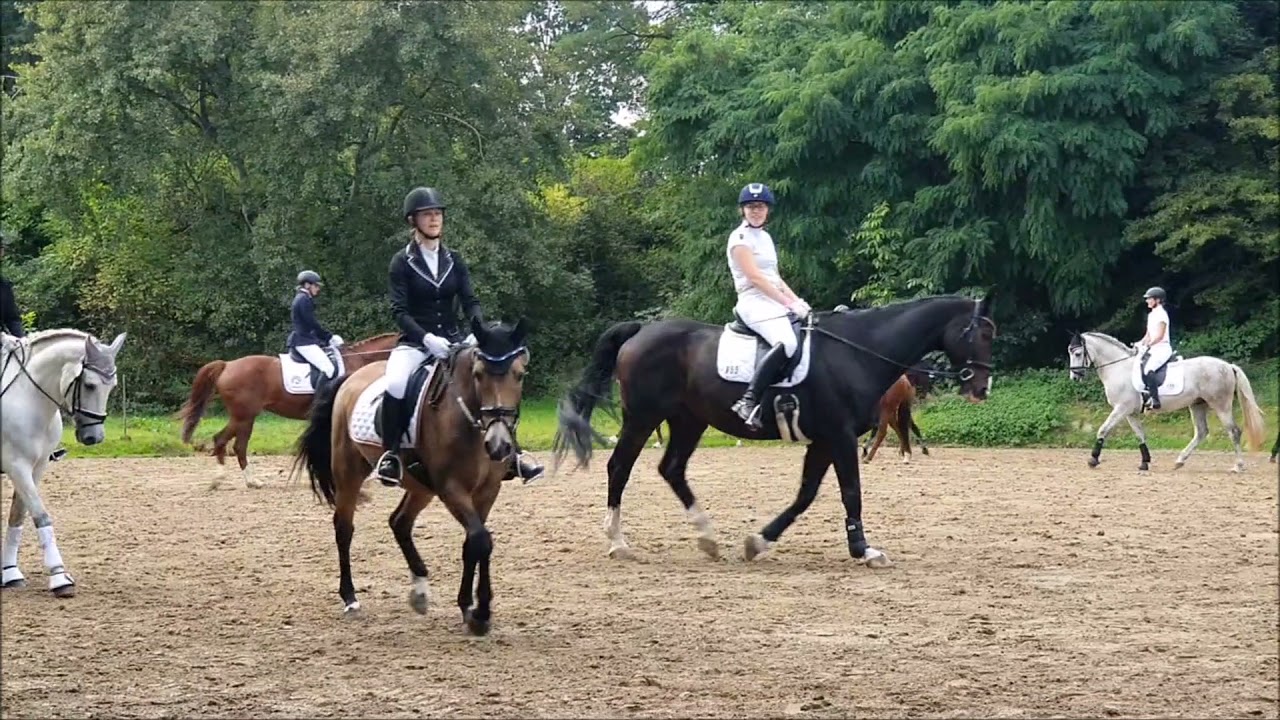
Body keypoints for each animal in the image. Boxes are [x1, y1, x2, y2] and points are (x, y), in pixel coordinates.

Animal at [1, 329, 127, 597]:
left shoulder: (36, 468)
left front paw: (10, 573)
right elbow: (41, 516)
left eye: (112, 387)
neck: (30, 399)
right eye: (89, 385)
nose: (93, 437)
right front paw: (59, 576)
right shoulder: (17, 466)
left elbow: (17, 516)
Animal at [177, 332, 398, 489]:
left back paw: (235, 480)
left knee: (230, 443)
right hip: (244, 416)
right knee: (231, 443)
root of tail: (227, 365)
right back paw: (235, 480)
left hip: (244, 417)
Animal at [292, 318, 529, 634]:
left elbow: (475, 542)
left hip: (420, 486)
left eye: (519, 375)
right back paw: (350, 598)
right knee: (344, 528)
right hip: (348, 471)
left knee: (400, 522)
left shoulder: (488, 489)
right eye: (478, 375)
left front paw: (470, 608)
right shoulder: (451, 488)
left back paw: (419, 591)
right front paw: (479, 613)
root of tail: (352, 377)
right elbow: (480, 539)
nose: (499, 444)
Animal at [553, 294, 996, 566]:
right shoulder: (839, 435)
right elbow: (850, 491)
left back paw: (708, 538)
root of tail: (641, 332)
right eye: (982, 333)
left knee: (672, 469)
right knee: (619, 468)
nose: (982, 388)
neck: (857, 352)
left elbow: (805, 495)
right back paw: (618, 543)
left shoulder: (824, 440)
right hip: (644, 417)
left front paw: (759, 541)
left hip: (689, 420)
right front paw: (864, 550)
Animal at [1067, 331, 1265, 472]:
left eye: (1077, 353)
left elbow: (1103, 429)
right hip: (1197, 404)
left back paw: (1238, 466)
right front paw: (1145, 462)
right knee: (1201, 432)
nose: (1074, 377)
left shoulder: (1121, 408)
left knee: (1233, 431)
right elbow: (1141, 435)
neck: (1119, 368)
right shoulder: (1130, 413)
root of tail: (1227, 365)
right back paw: (1179, 461)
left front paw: (1093, 459)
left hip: (1220, 404)